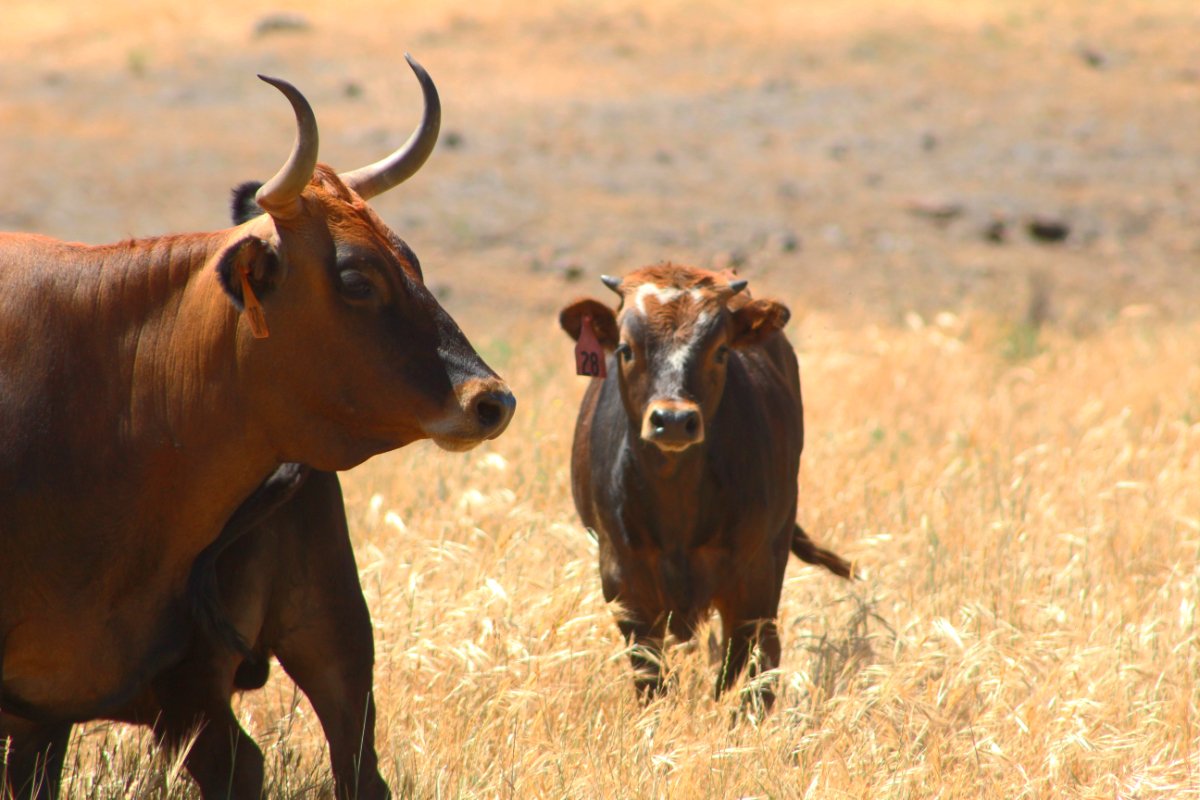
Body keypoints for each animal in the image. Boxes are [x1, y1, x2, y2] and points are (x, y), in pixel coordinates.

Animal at [561, 266, 854, 710]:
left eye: (720, 350)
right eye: (626, 349)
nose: (672, 421)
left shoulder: (751, 583)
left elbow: (735, 672)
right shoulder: (624, 583)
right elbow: (652, 678)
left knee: (766, 654)